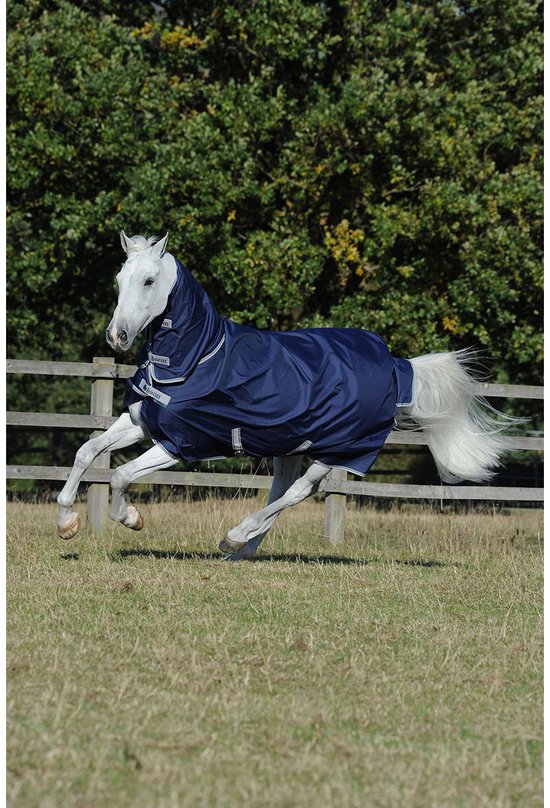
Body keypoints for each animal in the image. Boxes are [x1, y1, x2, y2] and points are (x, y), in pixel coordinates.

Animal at [56, 231, 510, 559]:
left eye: (149, 281)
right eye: (119, 280)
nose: (117, 336)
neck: (198, 356)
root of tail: (399, 366)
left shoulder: (180, 444)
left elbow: (120, 475)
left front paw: (130, 518)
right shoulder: (142, 422)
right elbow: (86, 451)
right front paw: (66, 523)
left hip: (338, 450)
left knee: (297, 493)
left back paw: (235, 535)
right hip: (290, 447)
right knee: (281, 493)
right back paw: (239, 549)